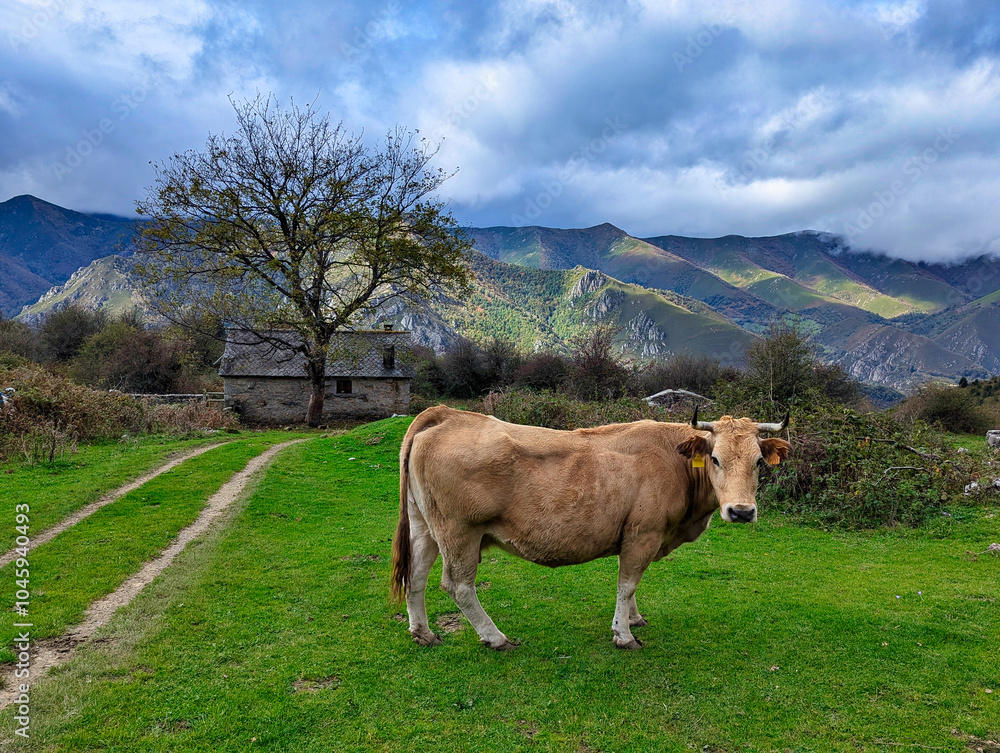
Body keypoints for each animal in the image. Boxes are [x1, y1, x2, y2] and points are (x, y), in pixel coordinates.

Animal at [390, 405, 791, 650]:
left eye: (759, 461)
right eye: (715, 458)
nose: (741, 511)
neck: (674, 459)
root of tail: (447, 414)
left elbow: (631, 586)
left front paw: (634, 618)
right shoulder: (643, 534)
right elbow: (627, 583)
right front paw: (624, 634)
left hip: (425, 525)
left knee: (417, 575)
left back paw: (423, 632)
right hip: (460, 531)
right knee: (457, 585)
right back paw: (495, 637)